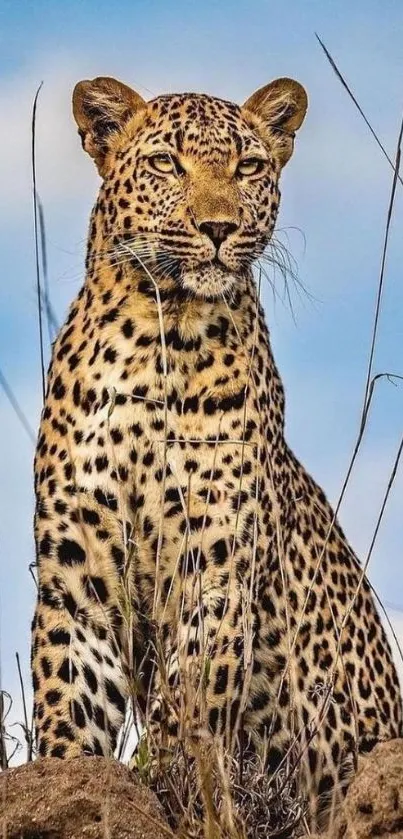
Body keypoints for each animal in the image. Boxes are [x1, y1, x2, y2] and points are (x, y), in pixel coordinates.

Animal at [32, 75, 403, 832]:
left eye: (249, 166)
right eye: (166, 163)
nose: (218, 227)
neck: (152, 338)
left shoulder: (215, 562)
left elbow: (190, 711)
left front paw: (183, 799)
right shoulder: (75, 577)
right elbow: (67, 707)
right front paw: (68, 790)